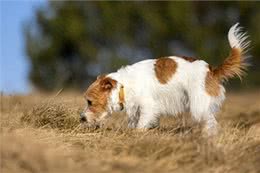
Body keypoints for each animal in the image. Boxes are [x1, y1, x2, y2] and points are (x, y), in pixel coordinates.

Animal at [79, 23, 250, 135]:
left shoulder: (148, 107)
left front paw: (138, 135)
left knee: (211, 123)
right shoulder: (135, 110)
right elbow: (134, 123)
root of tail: (211, 70)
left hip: (199, 106)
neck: (124, 86)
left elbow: (141, 125)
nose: (81, 118)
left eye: (90, 102)